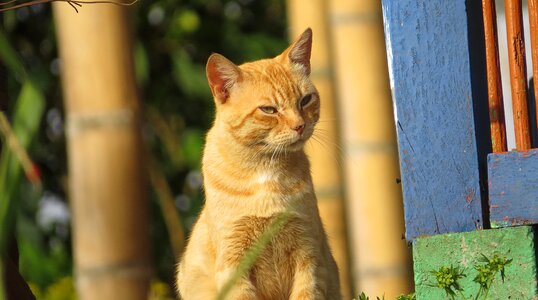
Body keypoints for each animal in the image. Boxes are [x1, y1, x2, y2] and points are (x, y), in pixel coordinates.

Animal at [178, 28, 342, 300]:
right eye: (269, 110)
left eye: (305, 100)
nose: (300, 125)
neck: (265, 171)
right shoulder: (234, 264)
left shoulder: (308, 256)